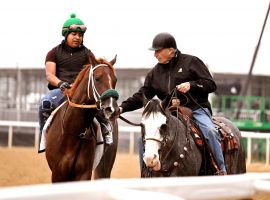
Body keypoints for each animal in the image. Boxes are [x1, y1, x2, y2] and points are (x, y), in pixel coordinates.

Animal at [45, 53, 119, 183]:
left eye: (115, 80)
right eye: (97, 78)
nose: (112, 109)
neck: (73, 133)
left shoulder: (84, 173)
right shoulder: (57, 173)